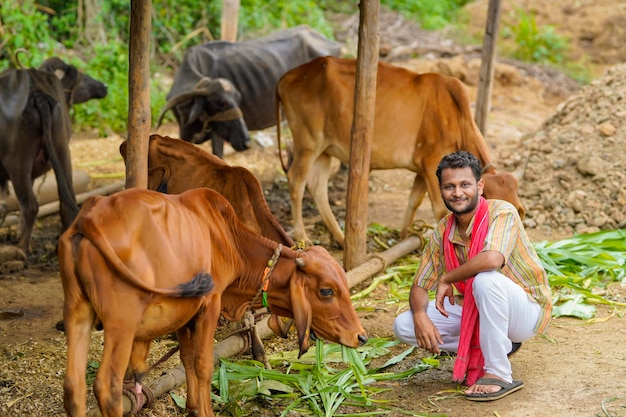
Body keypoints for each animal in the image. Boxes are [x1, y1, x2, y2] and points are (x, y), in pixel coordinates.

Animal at [0, 57, 106, 254]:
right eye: (82, 76)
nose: (104, 86)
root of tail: (36, 90)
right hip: (62, 149)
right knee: (67, 202)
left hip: (17, 164)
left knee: (30, 206)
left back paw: (21, 249)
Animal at [57, 188, 366, 416]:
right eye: (326, 291)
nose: (361, 336)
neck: (229, 240)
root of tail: (88, 217)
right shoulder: (211, 305)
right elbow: (204, 364)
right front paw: (204, 410)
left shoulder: (184, 314)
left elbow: (187, 359)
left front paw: (193, 406)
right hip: (122, 323)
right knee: (106, 387)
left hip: (77, 312)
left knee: (73, 386)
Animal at [276, 57, 524, 247]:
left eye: (519, 212)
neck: (456, 115)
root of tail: (286, 77)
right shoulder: (430, 162)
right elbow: (439, 211)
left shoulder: (425, 168)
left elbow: (413, 201)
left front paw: (405, 236)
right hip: (308, 143)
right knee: (296, 180)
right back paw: (302, 237)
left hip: (324, 151)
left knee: (317, 187)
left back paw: (340, 237)